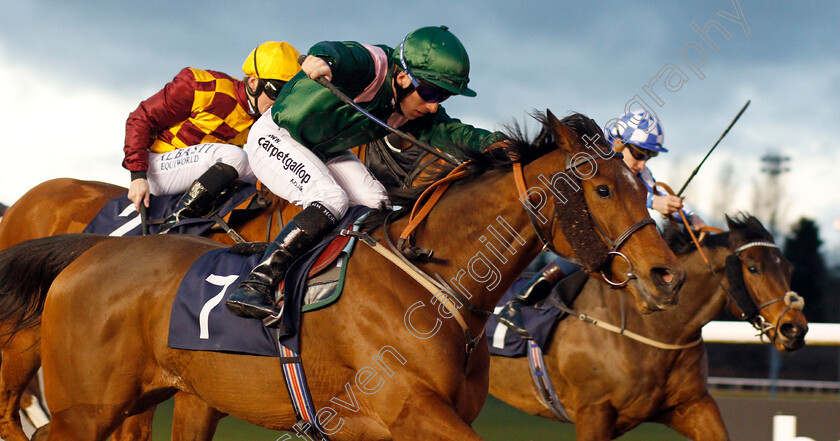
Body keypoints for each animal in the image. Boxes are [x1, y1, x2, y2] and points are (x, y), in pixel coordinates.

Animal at [0, 111, 684, 440]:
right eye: (603, 187)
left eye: (642, 185)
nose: (666, 274)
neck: (431, 283)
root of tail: (87, 254)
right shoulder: (408, 409)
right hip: (85, 408)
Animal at [488, 214, 812, 440]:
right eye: (754, 268)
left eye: (789, 268)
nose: (794, 330)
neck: (652, 328)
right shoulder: (594, 411)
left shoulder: (691, 404)